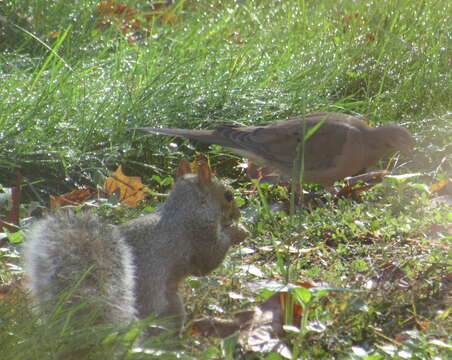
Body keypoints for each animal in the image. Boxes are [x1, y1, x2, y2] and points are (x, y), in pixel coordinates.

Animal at [23, 160, 249, 334]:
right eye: (228, 195)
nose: (238, 214)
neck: (184, 207)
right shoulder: (199, 233)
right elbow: (208, 261)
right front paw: (238, 231)